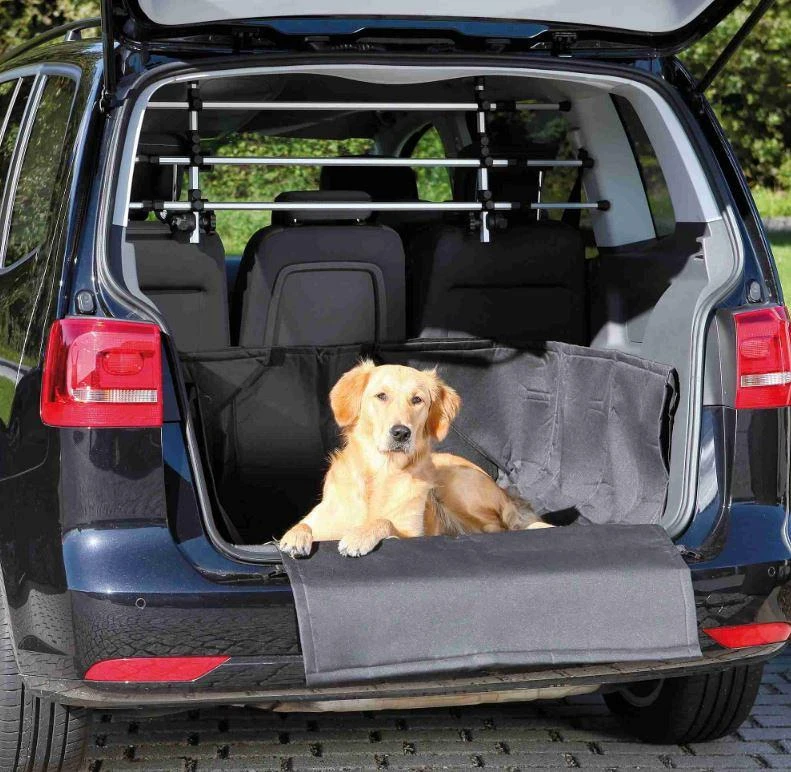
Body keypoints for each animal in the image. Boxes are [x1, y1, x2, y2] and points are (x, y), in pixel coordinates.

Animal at [278, 360, 550, 558]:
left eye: (417, 399)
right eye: (381, 396)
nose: (401, 432)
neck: (382, 472)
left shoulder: (411, 533)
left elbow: (384, 522)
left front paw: (359, 536)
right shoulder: (325, 519)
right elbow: (304, 524)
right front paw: (293, 536)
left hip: (456, 484)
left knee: (499, 527)